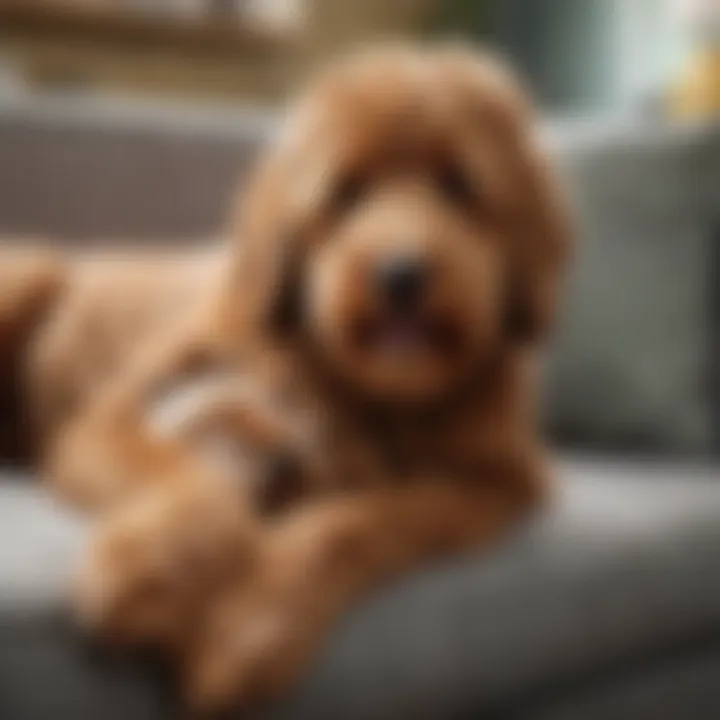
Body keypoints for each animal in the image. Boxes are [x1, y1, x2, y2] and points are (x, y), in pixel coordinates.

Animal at [42, 46, 572, 716]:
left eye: (458, 185)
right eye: (347, 191)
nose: (402, 274)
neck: (377, 398)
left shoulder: (495, 483)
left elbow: (348, 523)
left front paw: (245, 631)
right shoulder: (102, 424)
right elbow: (185, 477)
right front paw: (149, 573)